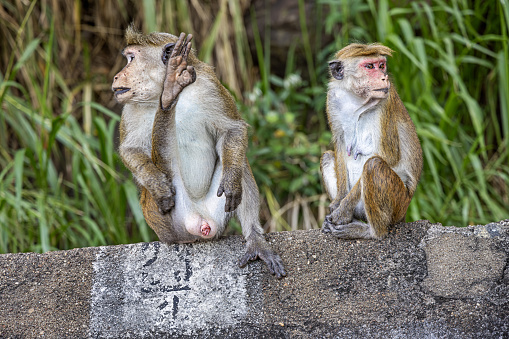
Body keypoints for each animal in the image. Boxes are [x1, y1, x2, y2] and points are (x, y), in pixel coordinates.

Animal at [111, 26, 286, 280]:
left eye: (131, 59)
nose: (116, 76)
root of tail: (199, 223)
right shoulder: (130, 108)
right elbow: (130, 150)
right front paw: (156, 184)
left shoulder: (210, 85)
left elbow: (232, 129)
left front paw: (232, 180)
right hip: (167, 222)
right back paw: (169, 96)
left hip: (216, 214)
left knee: (238, 161)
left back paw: (255, 239)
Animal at [320, 43, 422, 240]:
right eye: (369, 66)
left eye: (381, 65)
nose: (384, 77)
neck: (356, 99)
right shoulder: (333, 97)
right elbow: (340, 145)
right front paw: (338, 202)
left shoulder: (386, 101)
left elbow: (388, 157)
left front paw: (343, 210)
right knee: (328, 156)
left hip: (399, 203)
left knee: (373, 166)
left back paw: (371, 231)